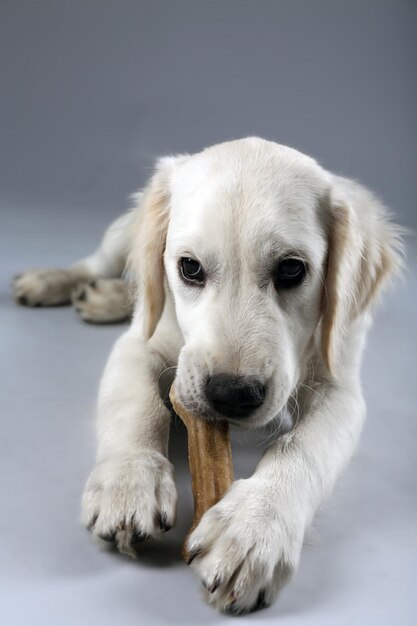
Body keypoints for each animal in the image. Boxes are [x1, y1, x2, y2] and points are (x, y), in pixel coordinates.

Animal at [13, 139, 404, 612]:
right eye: (190, 268)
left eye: (292, 270)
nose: (231, 394)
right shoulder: (137, 345)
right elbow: (137, 405)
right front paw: (129, 482)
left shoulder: (341, 385)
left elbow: (302, 447)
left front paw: (253, 529)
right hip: (121, 234)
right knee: (103, 264)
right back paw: (52, 280)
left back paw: (104, 296)